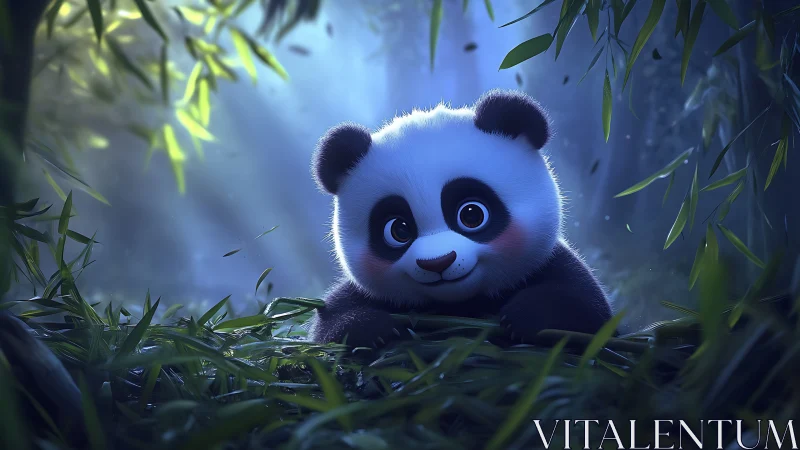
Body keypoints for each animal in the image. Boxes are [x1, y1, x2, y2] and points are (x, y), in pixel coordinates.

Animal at [307, 89, 613, 348]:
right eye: (399, 230)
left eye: (472, 214)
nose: (438, 262)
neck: (460, 303)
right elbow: (329, 323)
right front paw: (372, 327)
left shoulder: (549, 265)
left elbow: (589, 312)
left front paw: (528, 314)